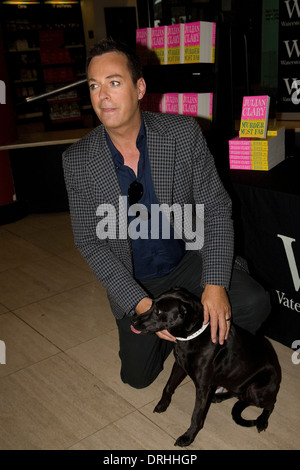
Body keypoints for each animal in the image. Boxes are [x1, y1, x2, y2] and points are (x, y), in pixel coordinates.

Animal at [131, 286, 282, 448]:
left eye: (159, 311)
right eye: (151, 304)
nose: (132, 320)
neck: (193, 337)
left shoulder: (203, 387)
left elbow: (197, 416)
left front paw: (188, 438)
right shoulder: (179, 366)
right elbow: (168, 387)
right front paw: (163, 404)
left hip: (257, 390)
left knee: (271, 404)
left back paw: (262, 421)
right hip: (236, 383)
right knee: (239, 395)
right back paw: (219, 397)